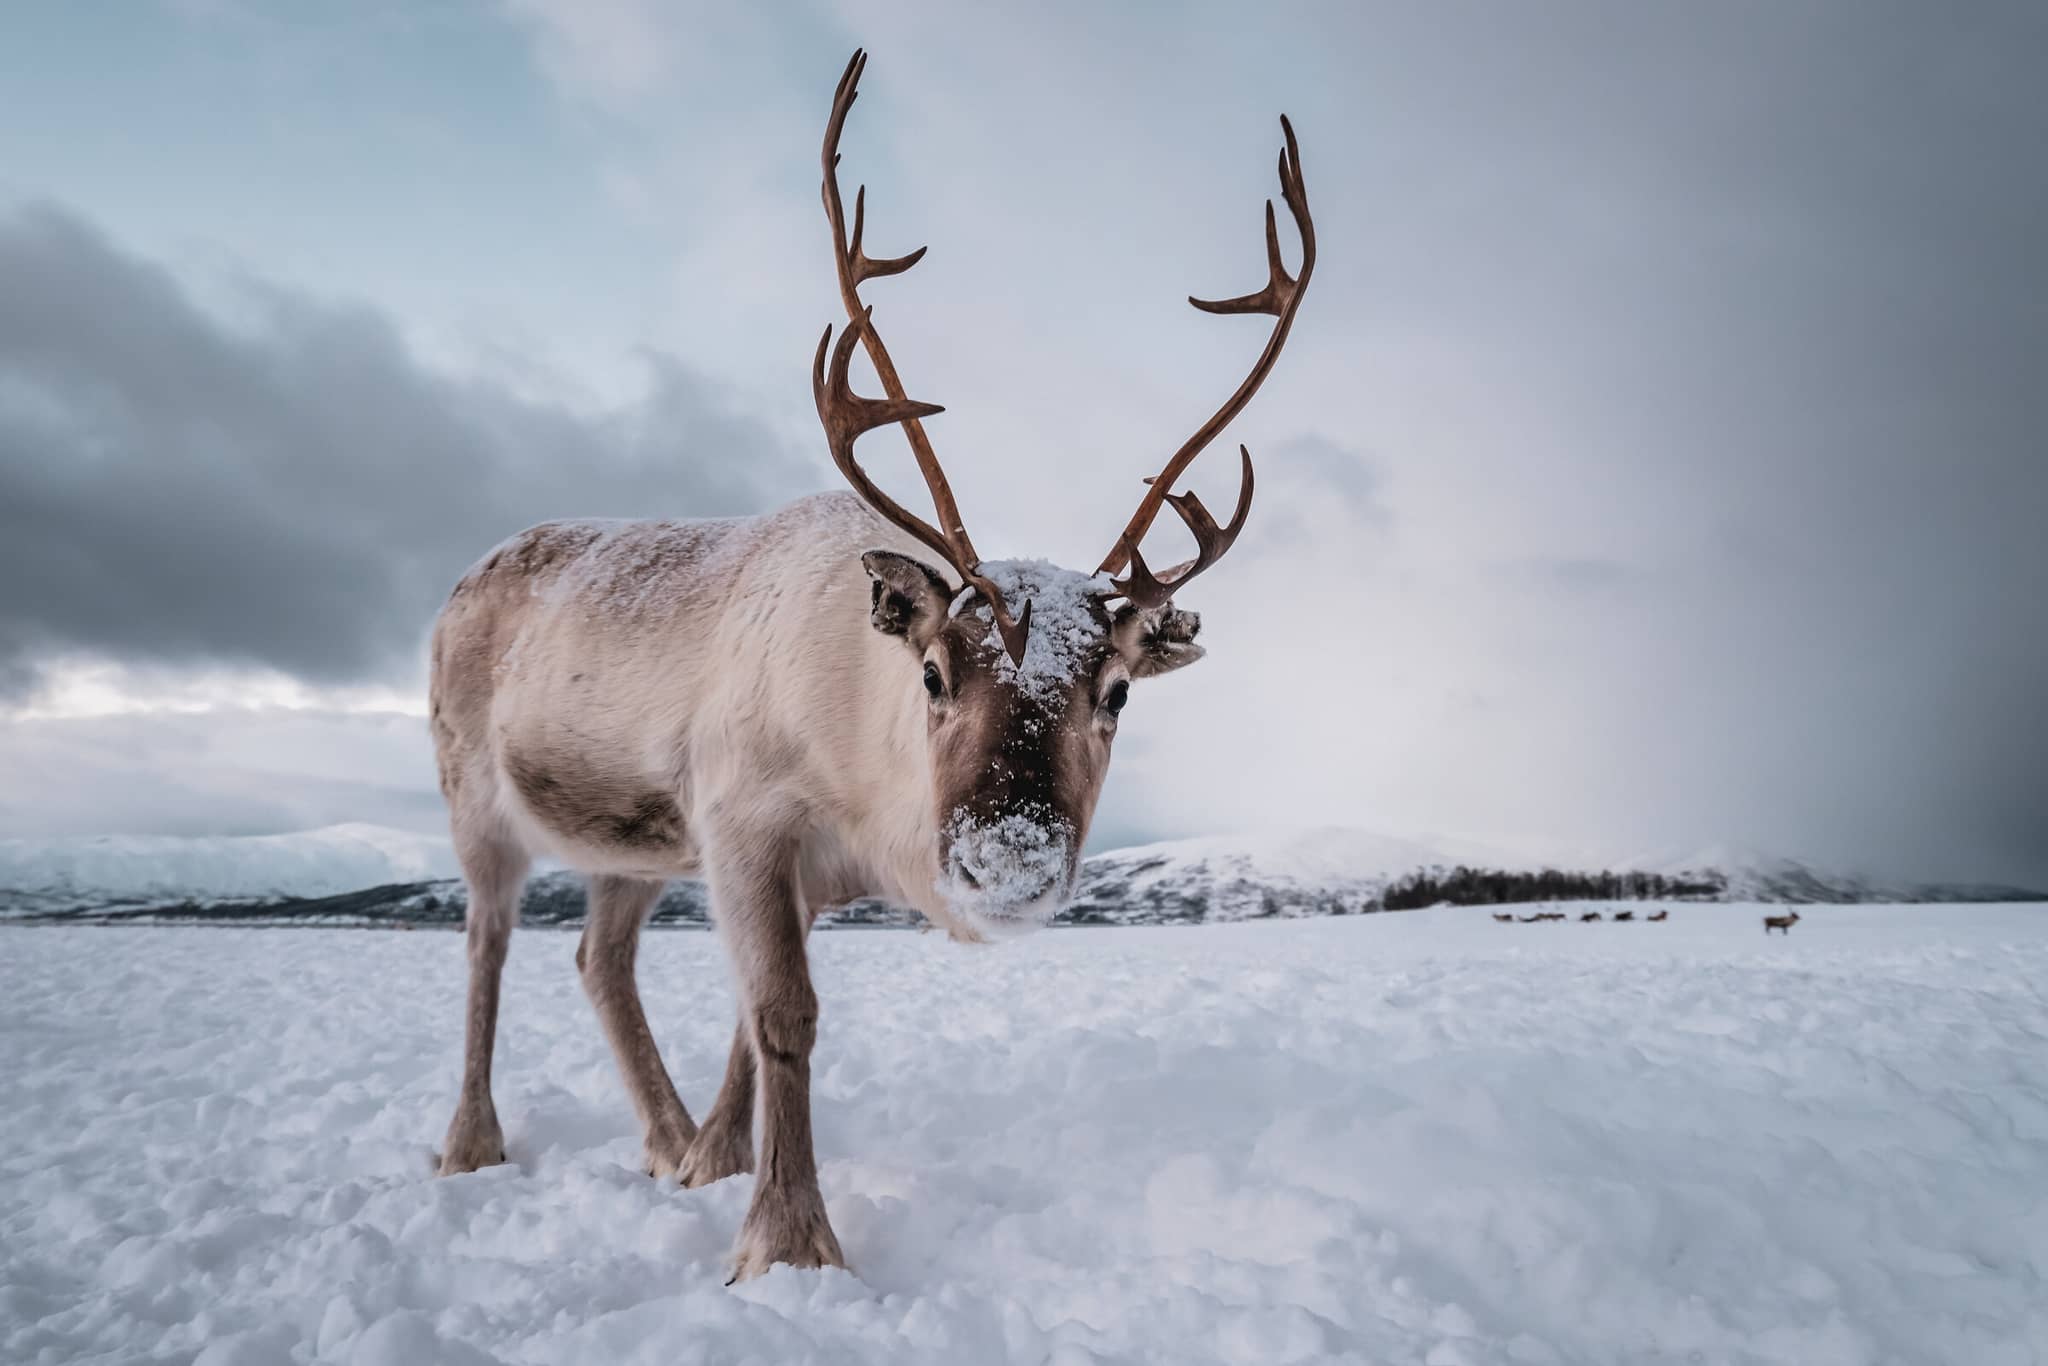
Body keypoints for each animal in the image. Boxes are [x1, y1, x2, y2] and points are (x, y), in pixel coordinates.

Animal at [425, 50, 1316, 1280]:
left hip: (630, 844)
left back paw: (661, 1139)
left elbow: (750, 1023)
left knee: (599, 959)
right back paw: (471, 1144)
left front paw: (714, 1164)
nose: (1007, 861)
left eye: (1118, 689)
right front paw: (787, 1242)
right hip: (475, 795)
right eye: (934, 672)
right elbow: (783, 1016)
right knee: (486, 945)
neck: (861, 783)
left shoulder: (787, 867)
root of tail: (465, 579)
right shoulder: (744, 817)